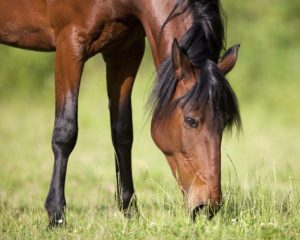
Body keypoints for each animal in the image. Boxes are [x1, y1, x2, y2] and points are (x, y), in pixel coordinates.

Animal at [0, 0, 239, 227]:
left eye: (225, 123)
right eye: (190, 120)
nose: (209, 206)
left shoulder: (125, 51)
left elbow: (122, 133)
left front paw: (130, 211)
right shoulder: (69, 43)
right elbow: (65, 132)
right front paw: (56, 215)